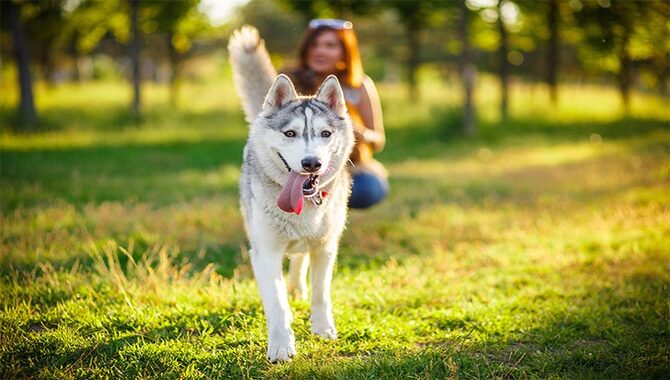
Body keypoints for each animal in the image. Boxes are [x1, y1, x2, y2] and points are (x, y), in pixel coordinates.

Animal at [228, 26, 356, 362]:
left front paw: (323, 329)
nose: (312, 163)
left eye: (325, 134)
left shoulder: (326, 247)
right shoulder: (265, 252)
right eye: (290, 133)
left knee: (300, 259)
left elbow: (321, 293)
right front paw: (281, 346)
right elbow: (277, 303)